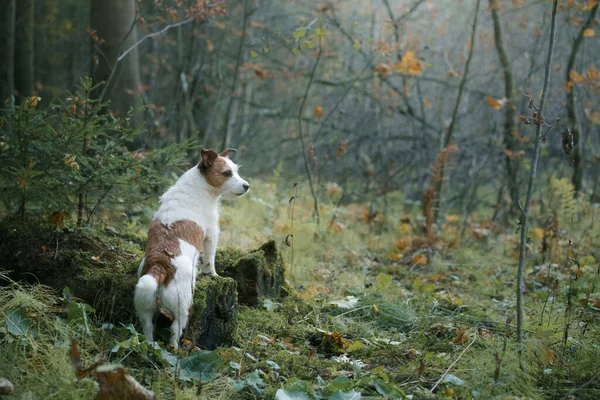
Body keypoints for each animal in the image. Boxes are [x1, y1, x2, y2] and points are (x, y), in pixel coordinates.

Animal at [134, 148, 248, 346]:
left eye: (236, 170)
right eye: (227, 173)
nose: (247, 186)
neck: (198, 186)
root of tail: (160, 263)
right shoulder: (212, 233)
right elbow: (210, 258)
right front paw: (212, 274)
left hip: (145, 304)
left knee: (148, 327)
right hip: (182, 304)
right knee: (175, 330)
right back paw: (175, 348)